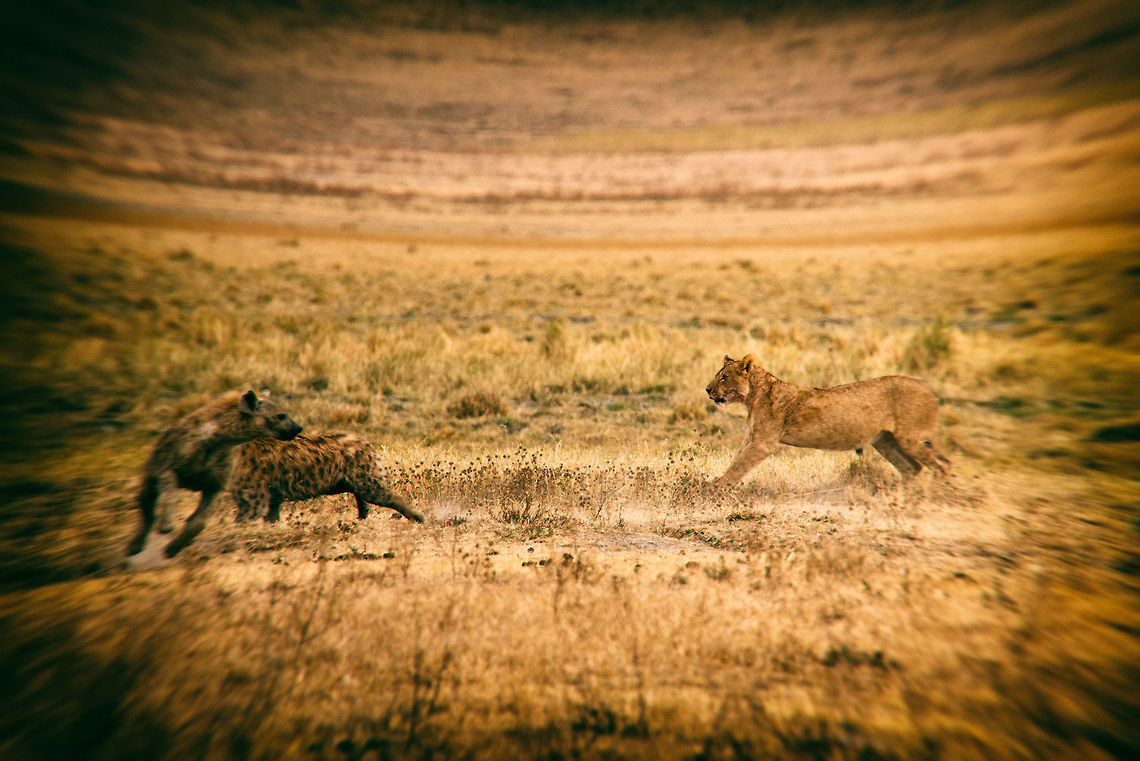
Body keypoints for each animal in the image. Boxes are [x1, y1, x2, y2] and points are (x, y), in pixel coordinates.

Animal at [705, 354, 950, 483]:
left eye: (724, 377)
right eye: (718, 375)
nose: (707, 389)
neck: (753, 396)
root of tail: (928, 386)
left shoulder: (764, 442)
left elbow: (740, 465)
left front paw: (719, 487)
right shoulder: (751, 437)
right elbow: (736, 460)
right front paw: (717, 483)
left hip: (910, 438)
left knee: (940, 466)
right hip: (886, 441)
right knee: (912, 468)